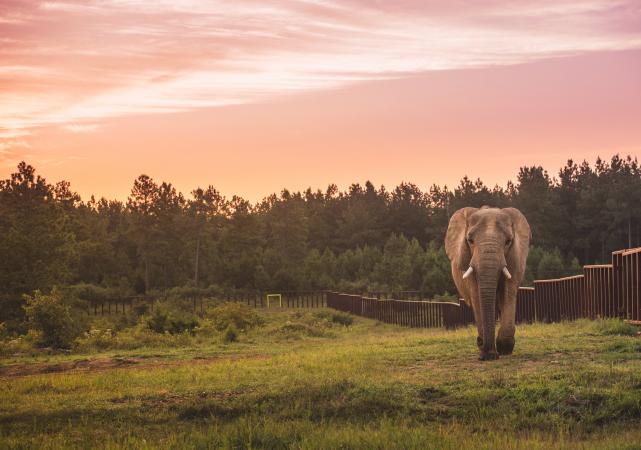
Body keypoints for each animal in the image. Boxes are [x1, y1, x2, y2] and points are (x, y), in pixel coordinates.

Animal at [445, 206, 530, 361]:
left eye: (508, 241)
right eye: (470, 240)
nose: (485, 353)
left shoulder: (515, 257)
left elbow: (508, 291)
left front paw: (504, 349)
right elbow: (476, 295)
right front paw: (488, 353)